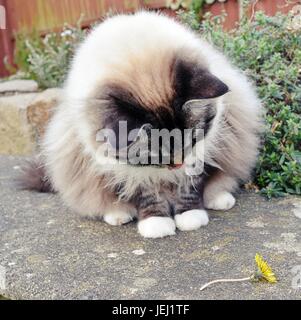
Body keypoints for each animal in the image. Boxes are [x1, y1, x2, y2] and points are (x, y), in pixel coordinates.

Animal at [18, 10, 262, 238]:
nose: (177, 164)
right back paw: (118, 215)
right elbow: (146, 196)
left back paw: (219, 199)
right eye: (154, 154)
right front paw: (157, 225)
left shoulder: (201, 153)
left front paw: (191, 218)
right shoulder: (124, 169)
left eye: (192, 140)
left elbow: (190, 188)